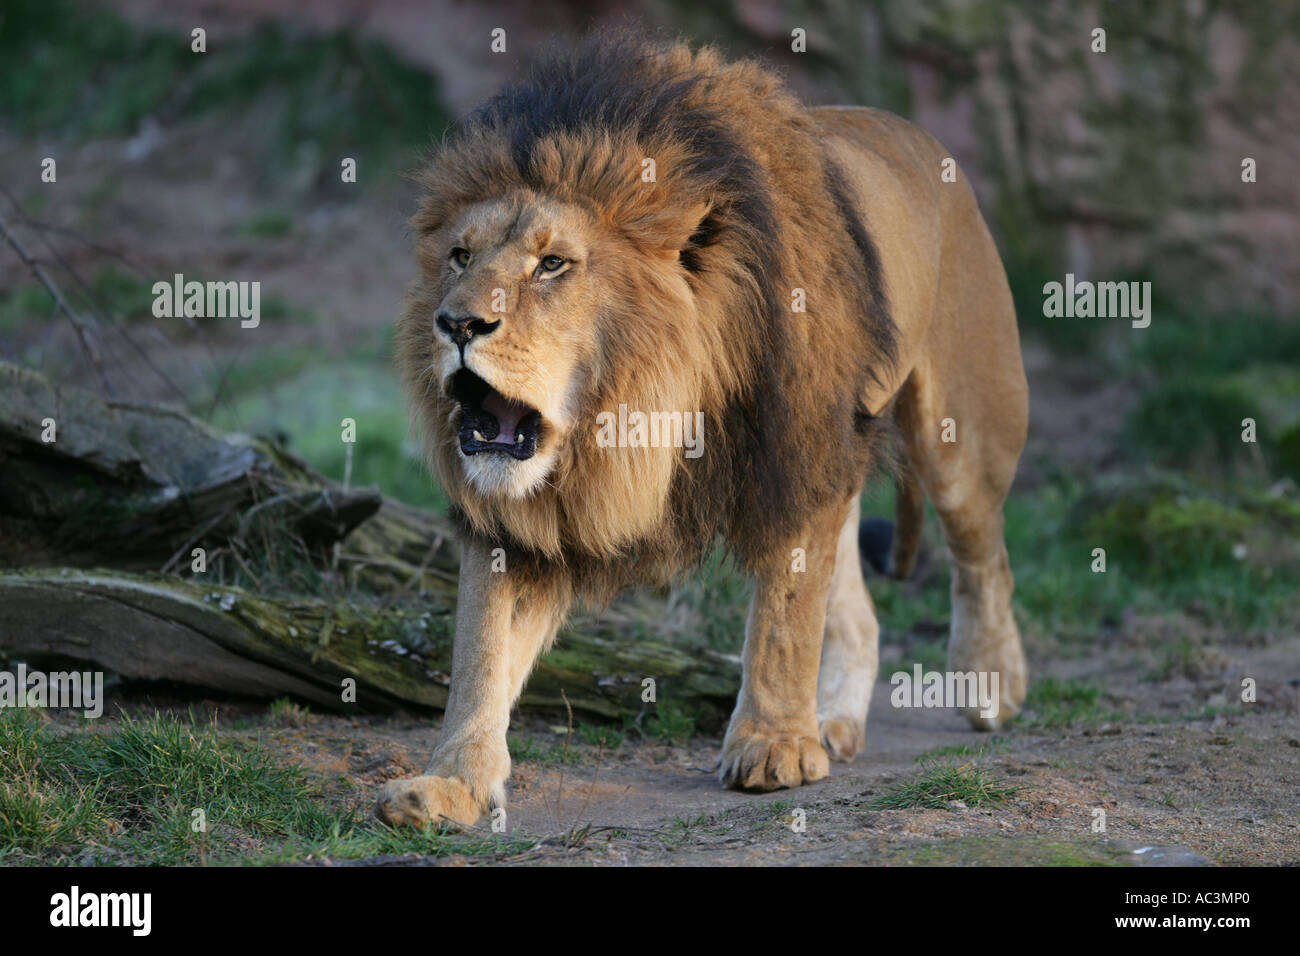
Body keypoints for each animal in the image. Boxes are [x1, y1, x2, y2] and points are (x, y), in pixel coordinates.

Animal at [379, 36, 1029, 827]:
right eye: (460, 257)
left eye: (553, 263)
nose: (457, 324)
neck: (635, 413)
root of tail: (922, 138)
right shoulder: (514, 517)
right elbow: (481, 647)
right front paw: (451, 783)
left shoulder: (793, 450)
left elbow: (784, 616)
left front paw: (774, 747)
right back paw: (834, 720)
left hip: (963, 429)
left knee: (983, 553)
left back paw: (990, 686)